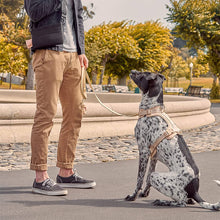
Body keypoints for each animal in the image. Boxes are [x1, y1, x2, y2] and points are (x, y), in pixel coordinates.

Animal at [125, 71, 220, 211]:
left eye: (142, 74)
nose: (132, 71)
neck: (152, 110)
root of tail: (195, 190)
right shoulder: (153, 156)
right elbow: (147, 178)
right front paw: (144, 193)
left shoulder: (143, 152)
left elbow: (140, 178)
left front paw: (133, 196)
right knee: (187, 199)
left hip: (158, 178)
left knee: (182, 201)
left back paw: (163, 202)